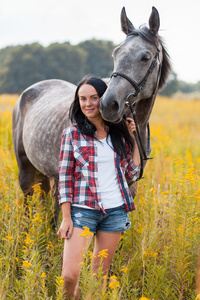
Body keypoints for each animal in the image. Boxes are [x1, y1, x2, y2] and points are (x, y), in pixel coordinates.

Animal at [12, 6, 170, 225]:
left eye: (146, 57)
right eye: (115, 54)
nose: (108, 105)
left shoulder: (129, 185)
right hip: (26, 169)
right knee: (30, 205)